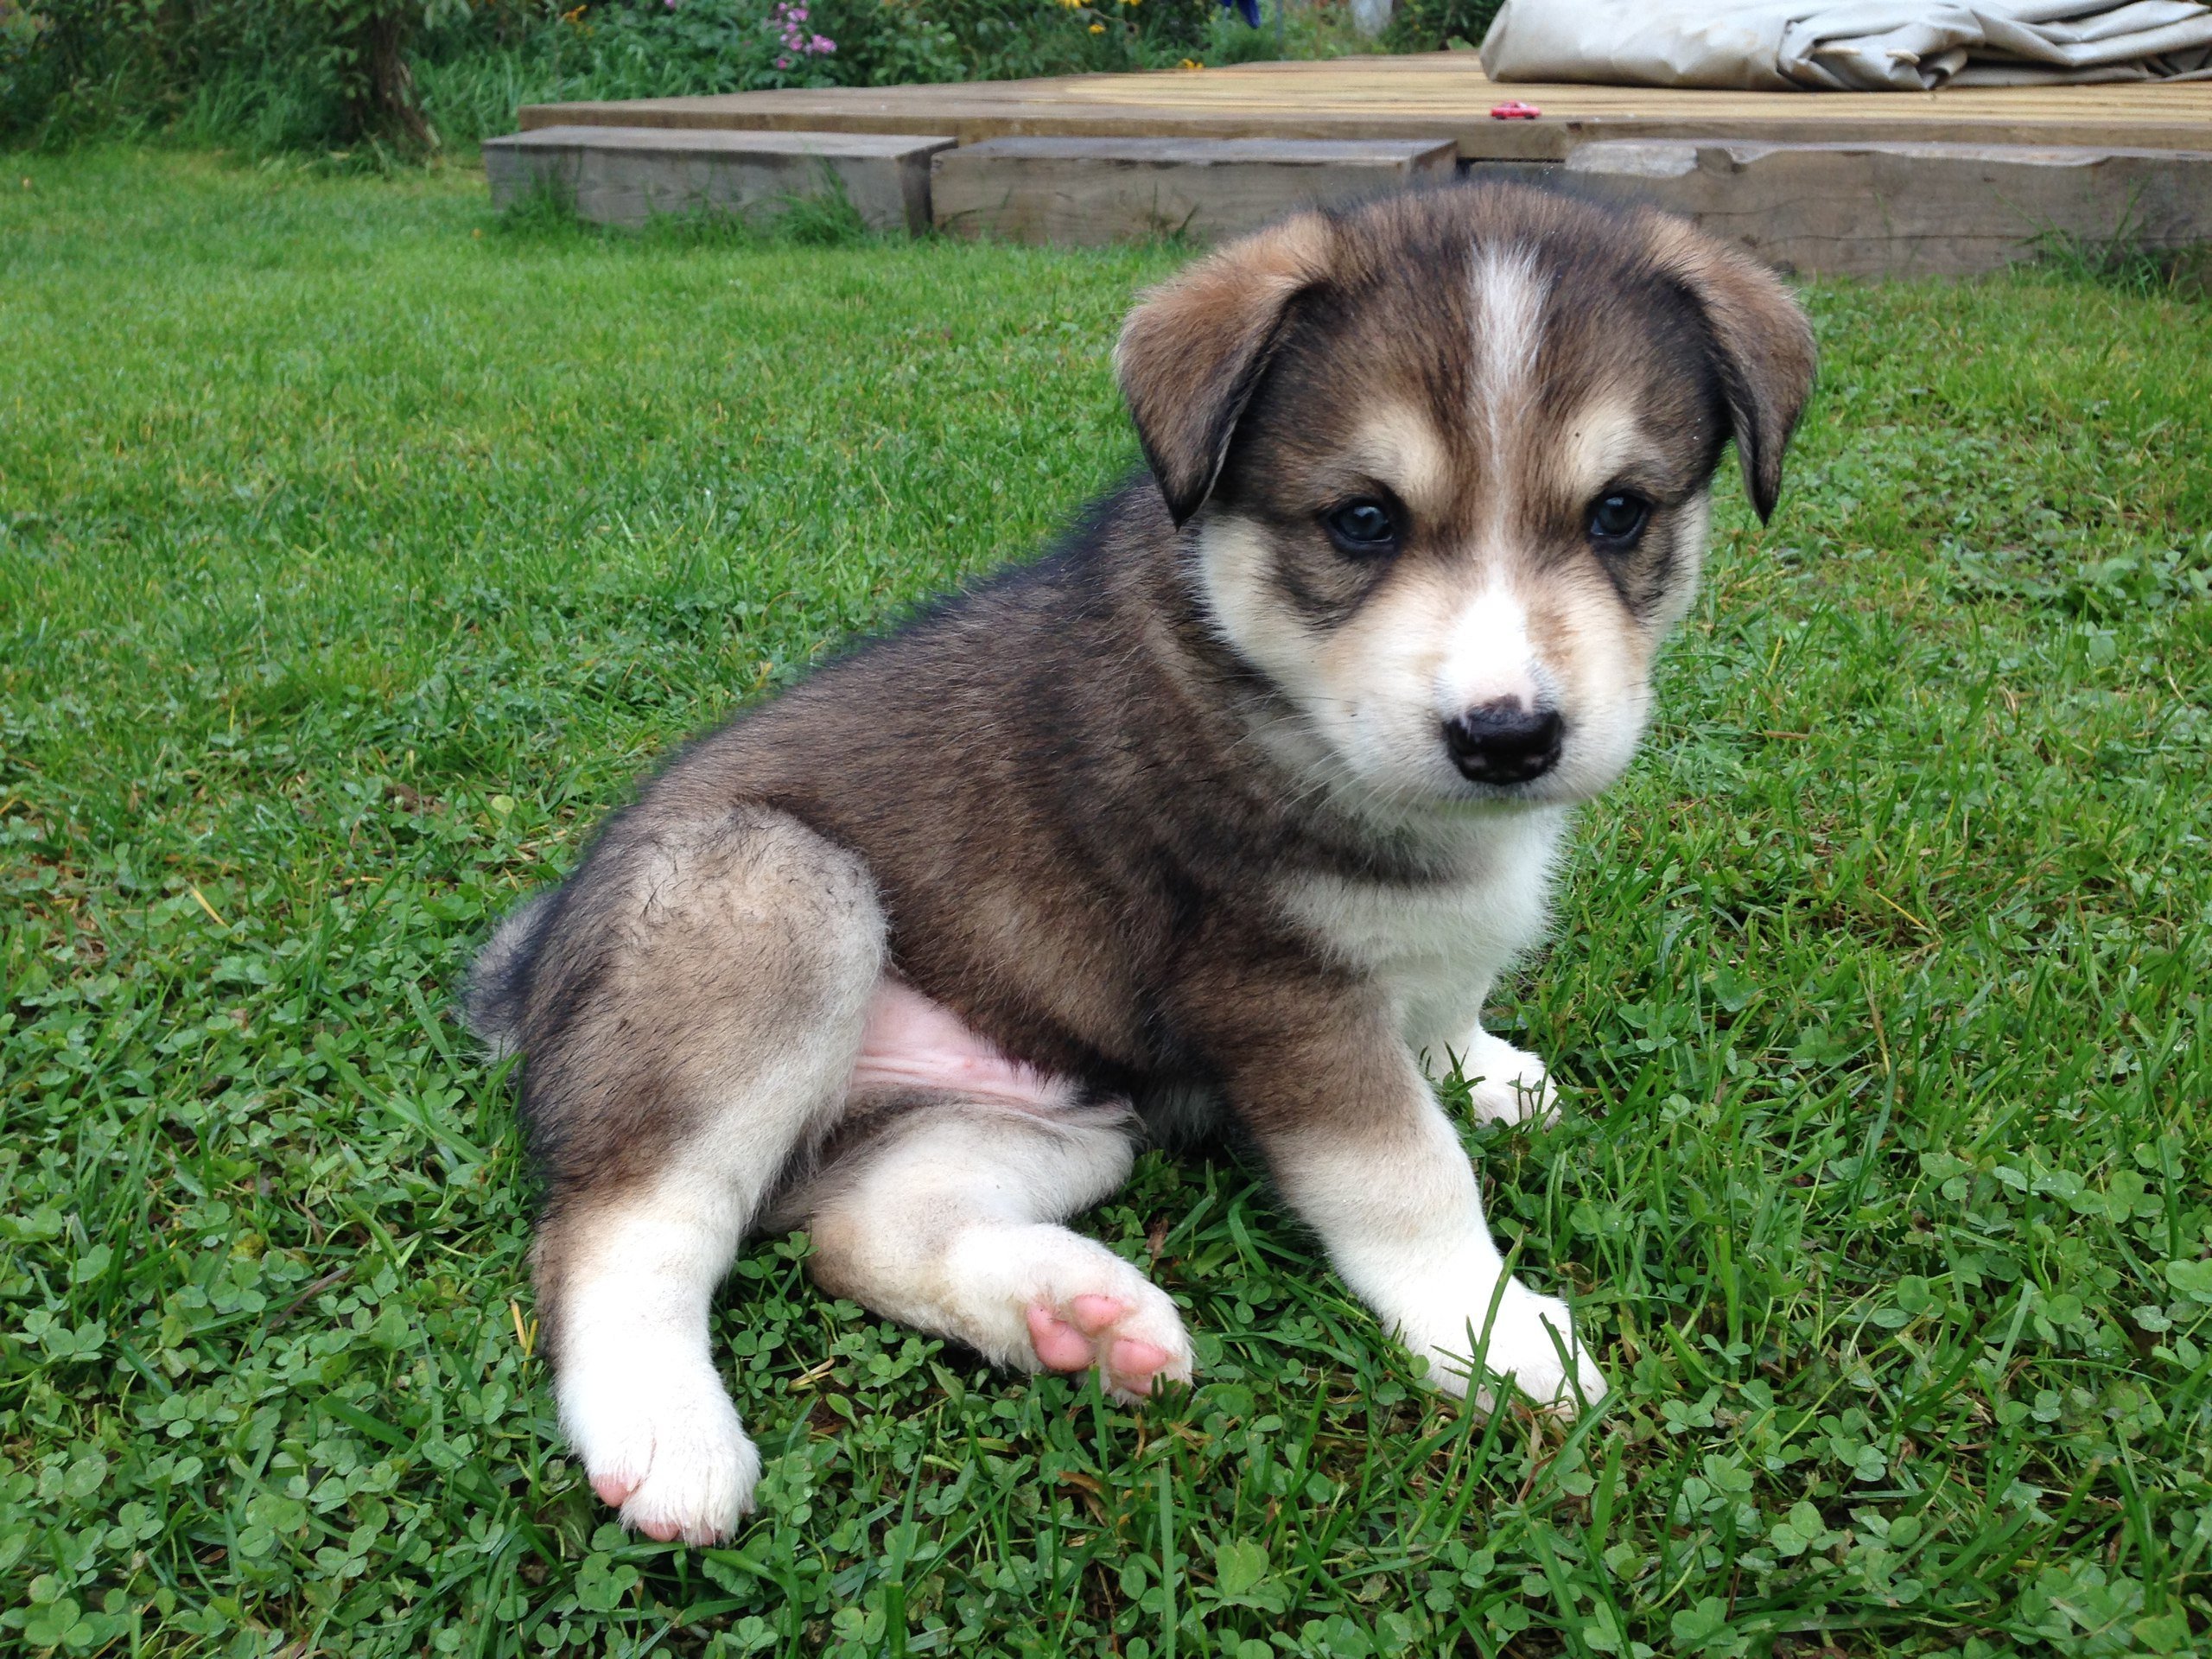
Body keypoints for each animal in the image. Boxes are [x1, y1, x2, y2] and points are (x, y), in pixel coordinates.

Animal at [468, 183, 1816, 1546]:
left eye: (1620, 513)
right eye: (1363, 521)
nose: (1508, 738)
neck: (1261, 679)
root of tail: (537, 959)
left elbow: (1448, 989)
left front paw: (1481, 1069)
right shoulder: (1273, 988)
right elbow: (1404, 1174)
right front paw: (1488, 1330)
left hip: (1054, 1115)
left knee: (854, 1232)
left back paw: (1070, 1319)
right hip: (774, 896)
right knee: (618, 1227)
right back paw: (667, 1433)